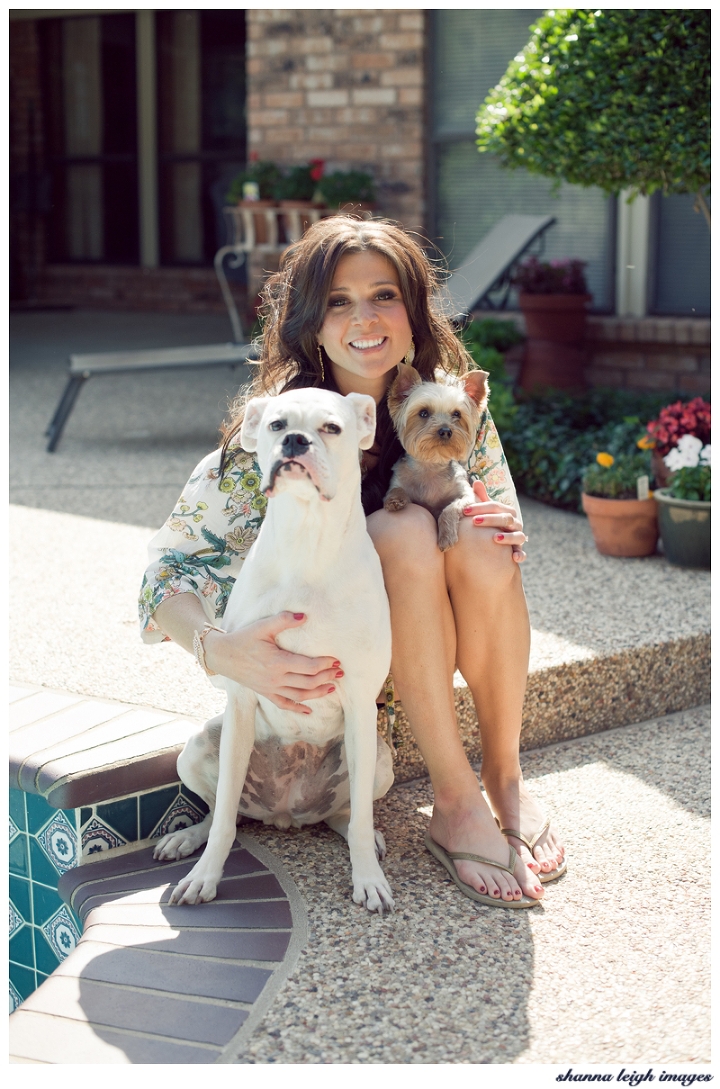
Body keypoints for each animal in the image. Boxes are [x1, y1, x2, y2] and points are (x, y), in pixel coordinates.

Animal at [153, 387, 396, 914]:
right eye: (277, 424)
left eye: (332, 428)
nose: (296, 441)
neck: (306, 534)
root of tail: (288, 813)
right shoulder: (243, 697)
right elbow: (224, 817)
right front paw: (205, 877)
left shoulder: (359, 701)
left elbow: (361, 821)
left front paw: (369, 879)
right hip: (201, 746)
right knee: (222, 812)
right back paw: (188, 839)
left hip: (378, 757)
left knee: (350, 815)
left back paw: (363, 839)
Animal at [381, 365, 487, 553]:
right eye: (423, 413)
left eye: (457, 414)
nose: (445, 430)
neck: (430, 464)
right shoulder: (397, 480)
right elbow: (396, 490)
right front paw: (395, 500)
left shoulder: (468, 495)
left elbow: (451, 507)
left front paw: (446, 537)